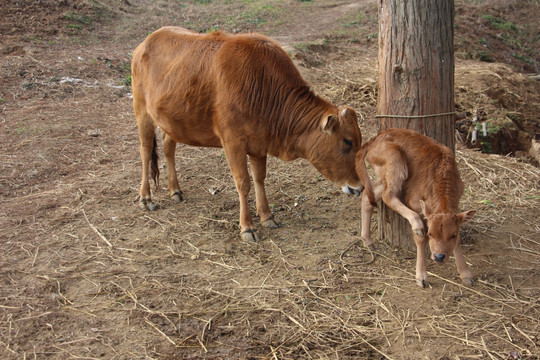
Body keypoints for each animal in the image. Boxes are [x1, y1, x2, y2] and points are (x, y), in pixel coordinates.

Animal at [130, 27, 362, 242]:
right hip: (142, 111)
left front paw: (267, 216)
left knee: (168, 147)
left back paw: (175, 190)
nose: (358, 188)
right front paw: (247, 227)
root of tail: (145, 42)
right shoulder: (232, 142)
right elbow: (243, 182)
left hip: (172, 121)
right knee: (144, 152)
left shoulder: (258, 144)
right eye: (347, 141)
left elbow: (259, 178)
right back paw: (146, 198)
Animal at [356, 129, 474, 286]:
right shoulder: (415, 204)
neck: (442, 173)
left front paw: (465, 274)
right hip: (395, 160)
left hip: (385, 176)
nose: (439, 256)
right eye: (430, 233)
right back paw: (415, 224)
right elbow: (420, 239)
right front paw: (421, 276)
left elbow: (458, 241)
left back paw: (367, 240)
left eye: (453, 235)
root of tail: (375, 138)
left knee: (369, 195)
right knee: (388, 196)